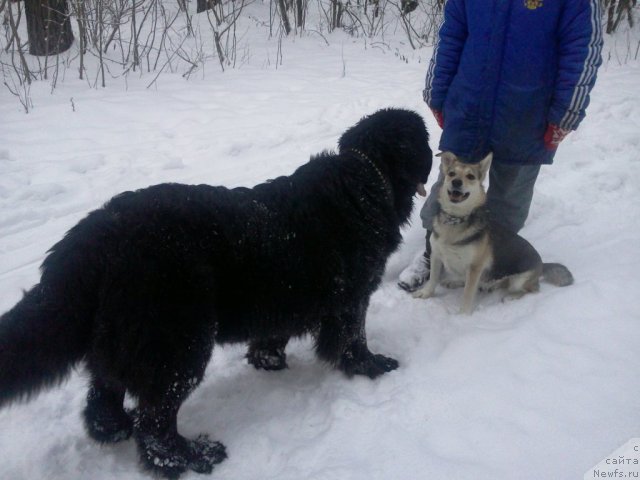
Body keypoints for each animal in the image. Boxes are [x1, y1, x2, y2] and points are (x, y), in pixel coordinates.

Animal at [0, 109, 432, 480]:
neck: (367, 179)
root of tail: (89, 241)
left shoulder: (283, 295)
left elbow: (275, 333)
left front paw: (267, 360)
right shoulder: (353, 297)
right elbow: (353, 338)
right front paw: (371, 366)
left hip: (123, 338)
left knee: (104, 394)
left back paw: (115, 429)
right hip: (178, 343)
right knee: (154, 420)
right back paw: (190, 456)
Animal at [416, 152, 576, 314]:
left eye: (470, 176)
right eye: (451, 173)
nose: (456, 182)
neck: (455, 220)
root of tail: (542, 264)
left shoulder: (475, 267)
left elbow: (468, 293)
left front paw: (463, 315)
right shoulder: (436, 255)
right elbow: (433, 278)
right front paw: (426, 293)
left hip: (518, 280)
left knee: (532, 289)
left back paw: (510, 296)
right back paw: (457, 282)